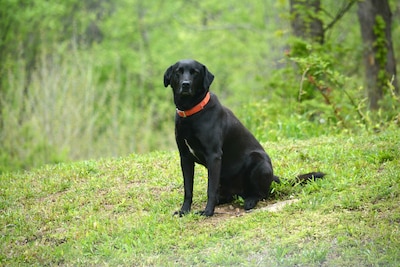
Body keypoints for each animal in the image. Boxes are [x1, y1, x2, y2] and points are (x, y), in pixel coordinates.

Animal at [164, 59, 324, 217]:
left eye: (195, 73)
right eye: (178, 72)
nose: (185, 84)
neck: (192, 112)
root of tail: (273, 175)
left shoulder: (213, 156)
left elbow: (210, 189)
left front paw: (208, 212)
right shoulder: (185, 157)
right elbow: (188, 189)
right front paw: (184, 211)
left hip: (258, 161)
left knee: (261, 193)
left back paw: (250, 201)